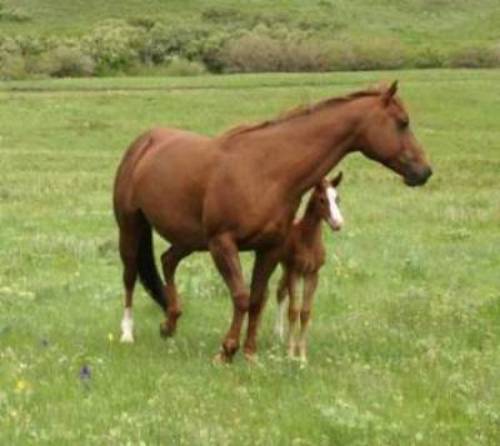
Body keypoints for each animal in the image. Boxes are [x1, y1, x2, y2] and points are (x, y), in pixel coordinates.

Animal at [274, 172, 344, 362]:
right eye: (322, 199)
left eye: (337, 198)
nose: (338, 223)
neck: (307, 241)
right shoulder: (296, 271)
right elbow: (294, 310)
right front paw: (291, 354)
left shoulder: (312, 274)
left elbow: (305, 312)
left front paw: (303, 356)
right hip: (283, 266)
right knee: (279, 292)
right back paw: (278, 333)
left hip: (286, 269)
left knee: (281, 291)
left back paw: (280, 335)